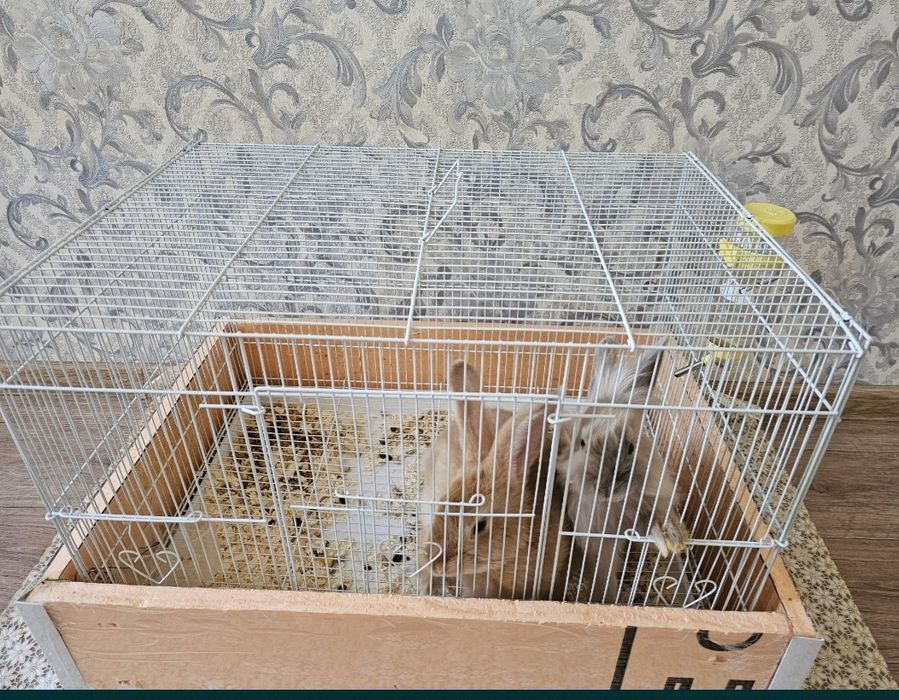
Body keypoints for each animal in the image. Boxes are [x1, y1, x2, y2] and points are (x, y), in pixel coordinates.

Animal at [555, 342, 690, 603]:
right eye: (582, 443)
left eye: (631, 447)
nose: (608, 488)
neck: (615, 505)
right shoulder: (596, 534)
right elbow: (604, 570)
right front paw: (606, 598)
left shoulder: (651, 501)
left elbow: (655, 522)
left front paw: (671, 539)